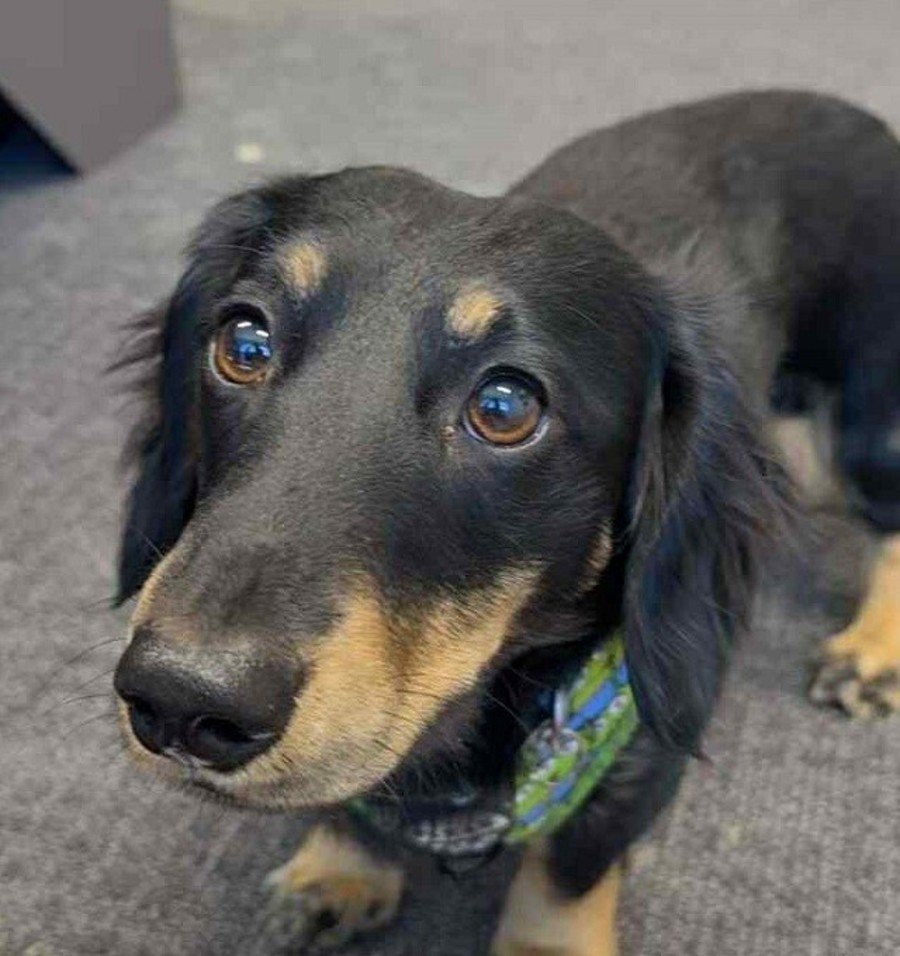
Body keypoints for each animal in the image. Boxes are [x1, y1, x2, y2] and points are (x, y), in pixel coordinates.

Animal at [112, 90, 900, 955]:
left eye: (504, 406)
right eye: (244, 342)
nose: (180, 702)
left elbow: (570, 866)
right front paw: (340, 866)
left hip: (862, 429)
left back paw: (872, 651)